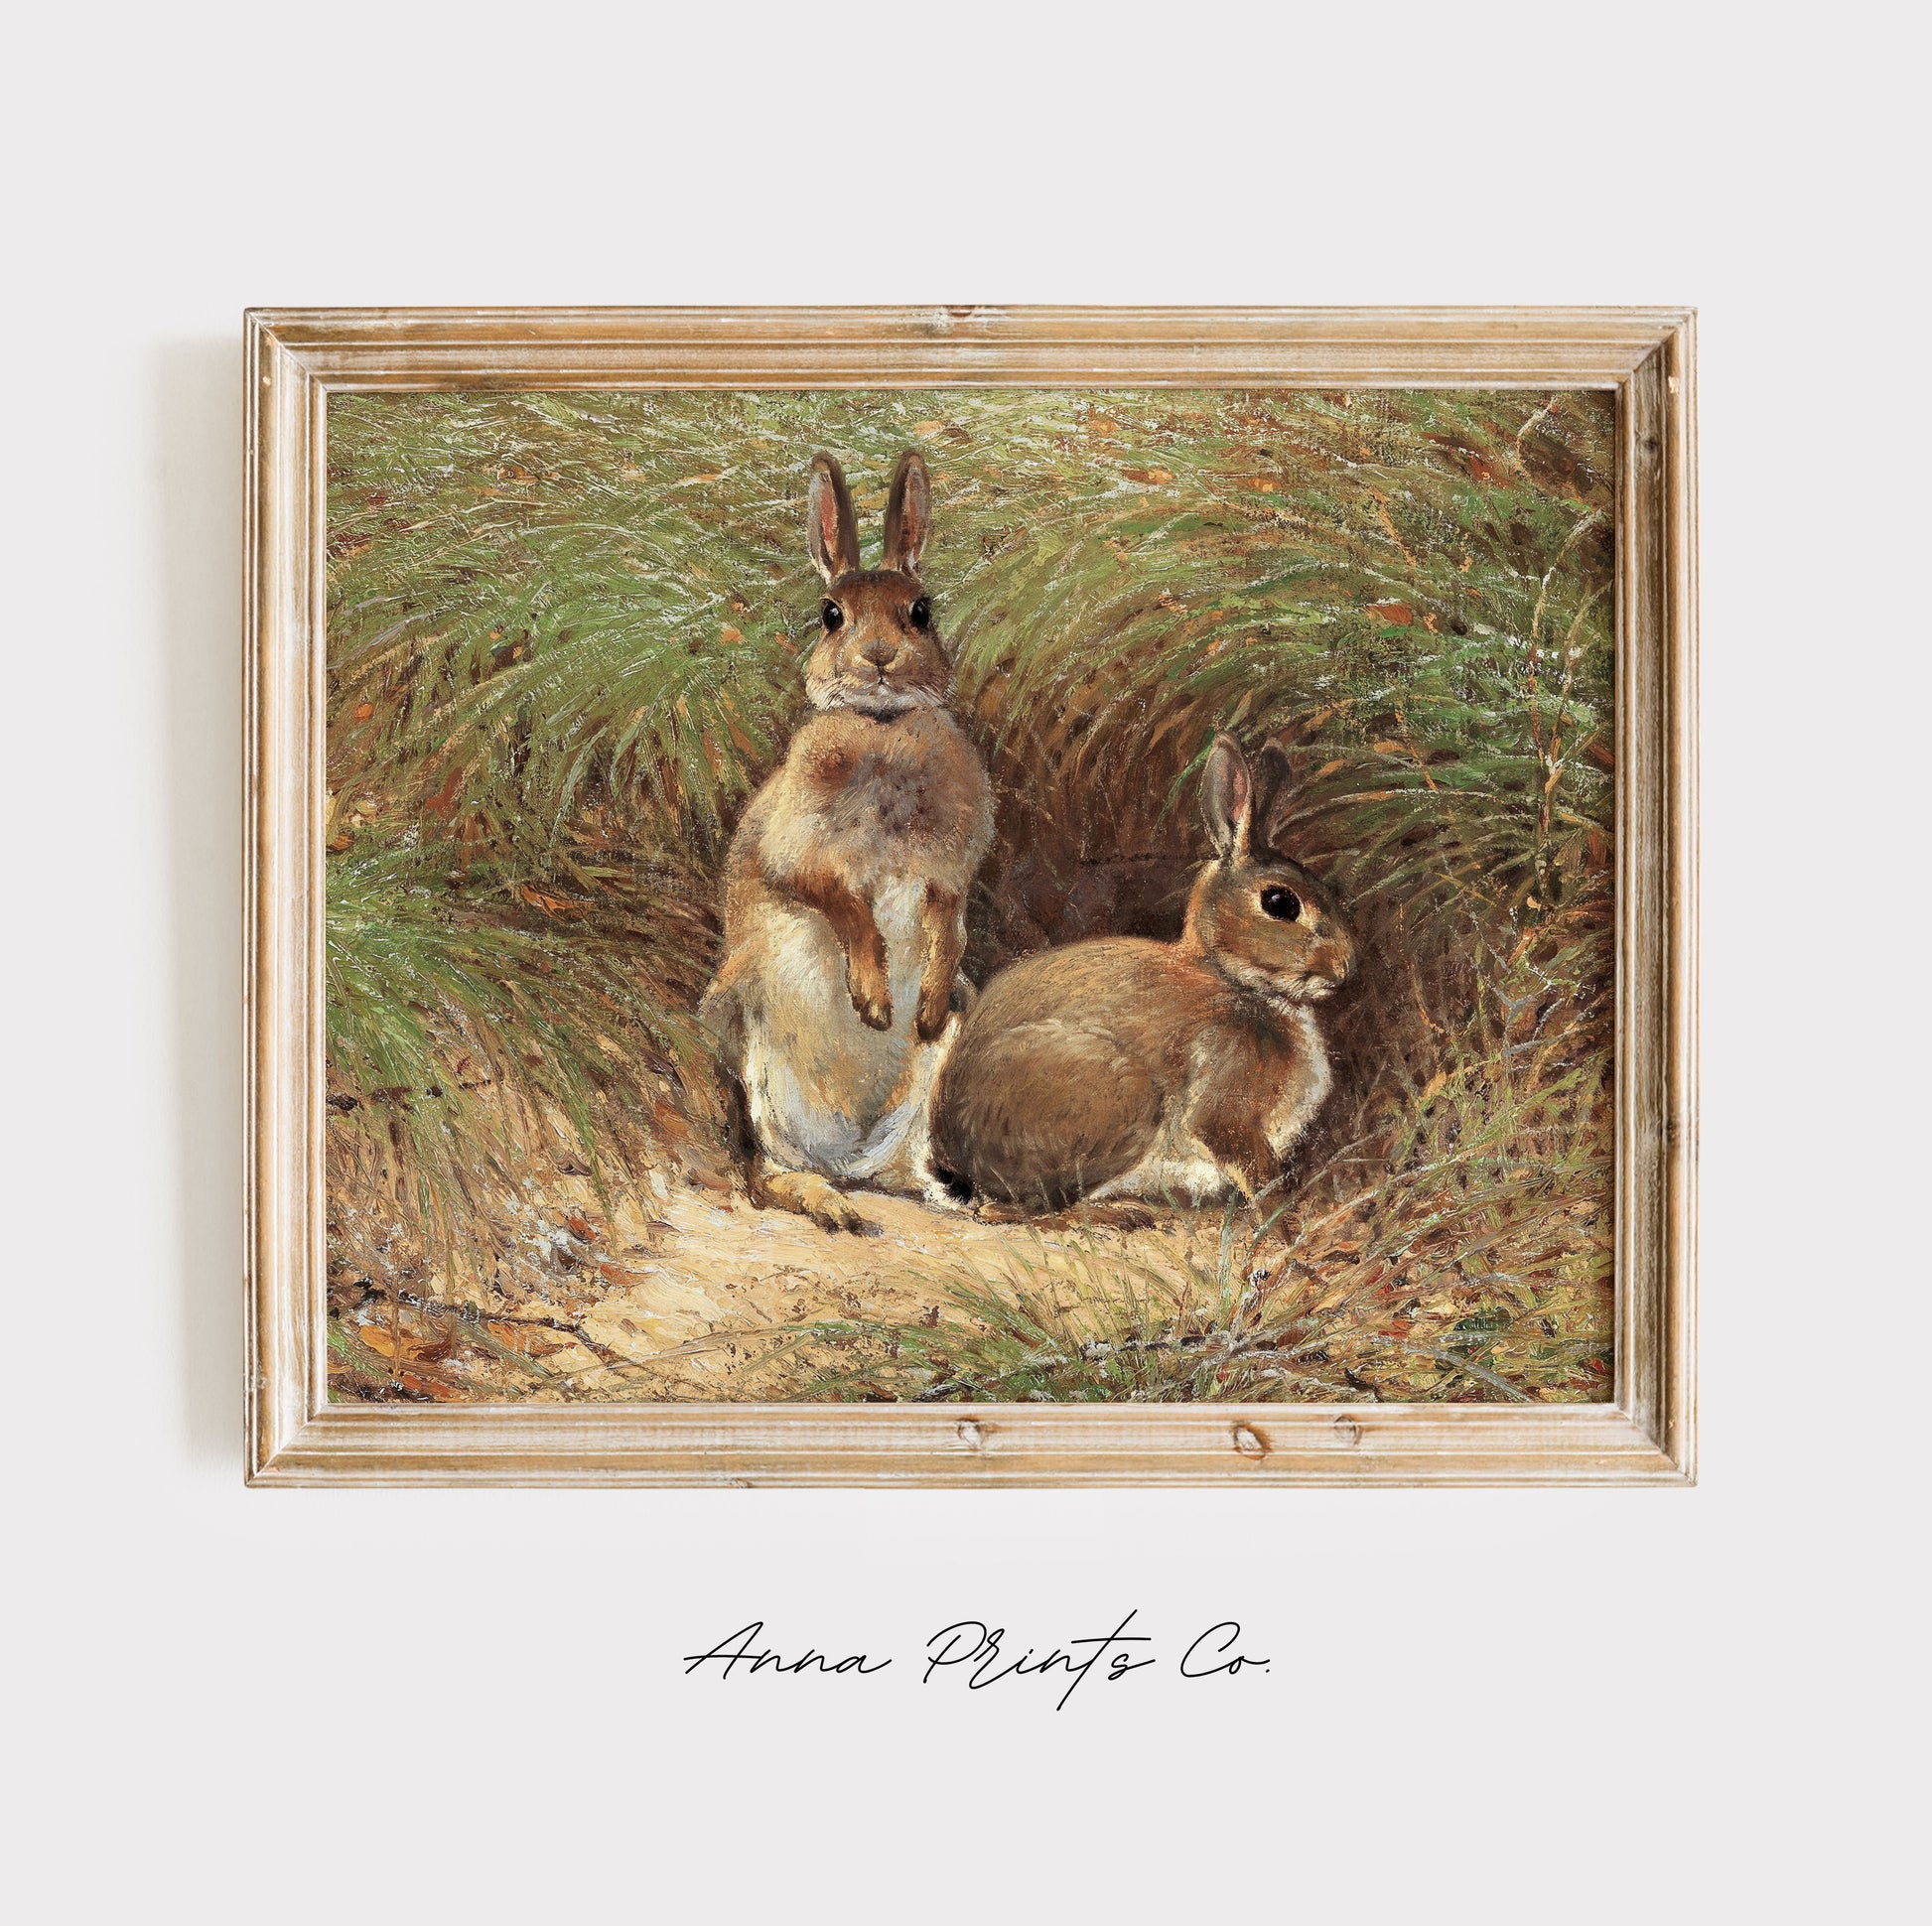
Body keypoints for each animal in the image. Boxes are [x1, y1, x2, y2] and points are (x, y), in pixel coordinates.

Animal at [699, 449, 994, 1234]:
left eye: (922, 611)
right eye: (831, 615)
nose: (881, 657)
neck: (882, 729)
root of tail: (851, 1153)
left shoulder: (948, 874)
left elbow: (948, 924)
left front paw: (918, 1006)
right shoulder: (796, 855)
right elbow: (843, 903)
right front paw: (873, 1000)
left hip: (929, 1079)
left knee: (908, 1167)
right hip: (751, 1048)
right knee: (764, 1171)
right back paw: (827, 1203)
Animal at [931, 732, 1355, 1215]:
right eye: (1280, 903)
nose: (1344, 968)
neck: (1233, 979)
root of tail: (954, 1151)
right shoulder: (1225, 1102)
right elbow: (1249, 1163)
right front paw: (1281, 1209)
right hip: (1124, 1097)